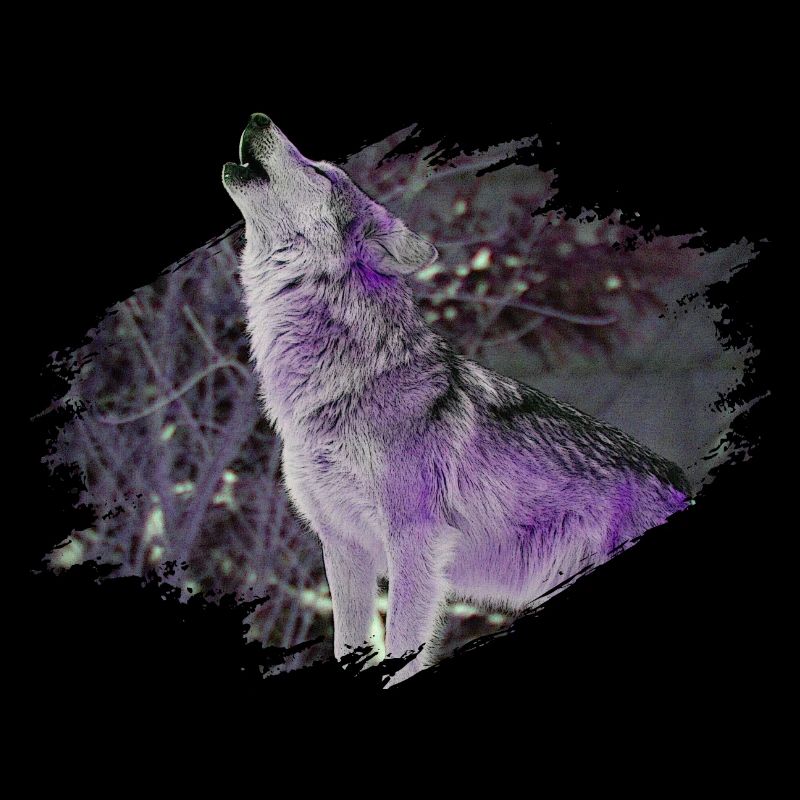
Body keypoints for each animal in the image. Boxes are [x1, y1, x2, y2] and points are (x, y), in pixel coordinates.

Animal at [222, 112, 691, 686]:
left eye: (321, 171)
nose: (258, 117)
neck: (339, 385)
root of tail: (679, 483)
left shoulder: (414, 545)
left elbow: (401, 656)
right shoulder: (345, 549)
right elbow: (348, 648)